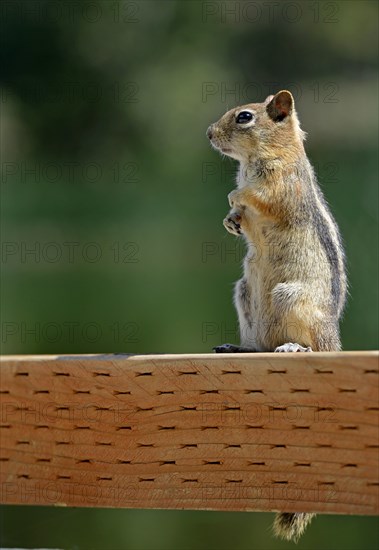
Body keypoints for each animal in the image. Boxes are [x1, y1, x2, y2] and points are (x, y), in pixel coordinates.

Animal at [208, 90, 348, 544]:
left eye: (244, 117)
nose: (209, 133)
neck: (254, 159)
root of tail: (334, 338)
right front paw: (230, 221)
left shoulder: (279, 185)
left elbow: (256, 196)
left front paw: (235, 199)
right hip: (245, 295)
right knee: (258, 345)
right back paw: (239, 347)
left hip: (291, 298)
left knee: (311, 346)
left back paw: (294, 347)